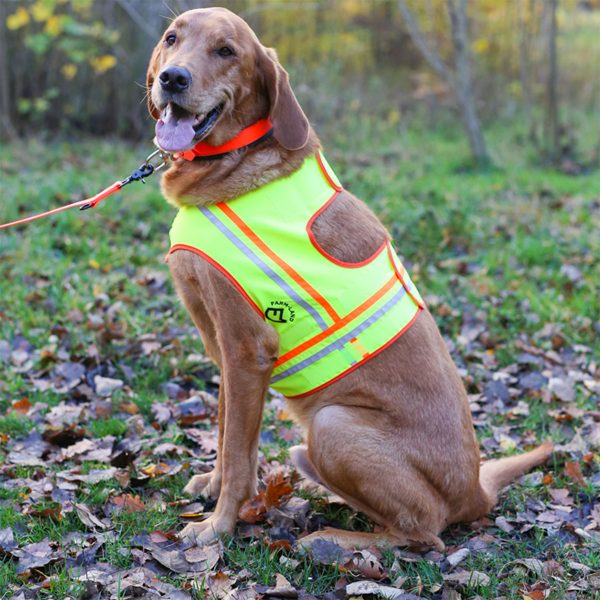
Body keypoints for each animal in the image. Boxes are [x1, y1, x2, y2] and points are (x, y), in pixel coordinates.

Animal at [146, 7, 552, 552]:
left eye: (226, 51)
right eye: (172, 39)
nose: (173, 78)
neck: (232, 164)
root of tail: (476, 492)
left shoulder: (247, 349)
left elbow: (237, 453)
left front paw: (218, 527)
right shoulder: (224, 349)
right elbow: (227, 431)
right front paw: (212, 489)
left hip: (333, 423)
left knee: (425, 534)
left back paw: (333, 538)